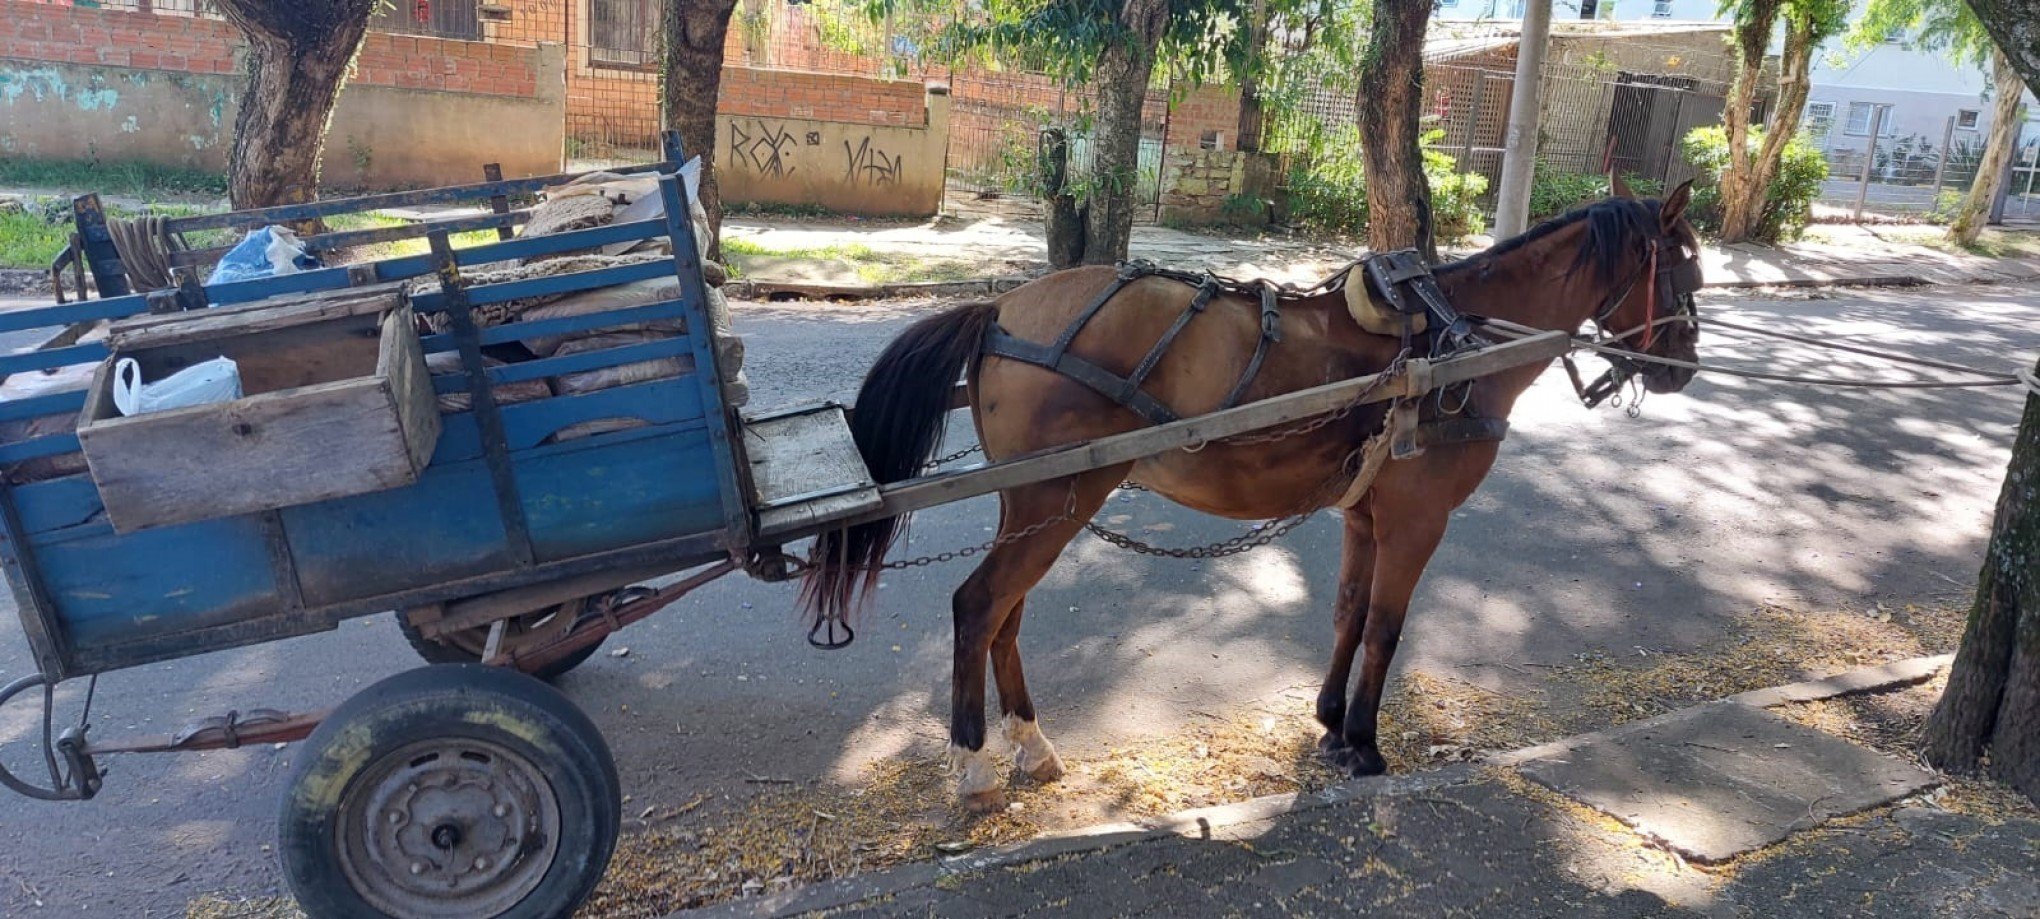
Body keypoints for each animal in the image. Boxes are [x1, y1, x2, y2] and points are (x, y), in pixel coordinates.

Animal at [803, 188, 1697, 812]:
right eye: (1684, 266)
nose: (1684, 366)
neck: (1459, 337)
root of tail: (999, 309)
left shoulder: (1365, 514)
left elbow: (1347, 611)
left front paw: (1330, 720)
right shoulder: (1417, 519)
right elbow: (1385, 625)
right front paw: (1365, 744)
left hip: (1040, 507)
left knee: (1003, 616)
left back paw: (1030, 743)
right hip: (1053, 501)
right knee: (977, 606)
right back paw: (974, 765)